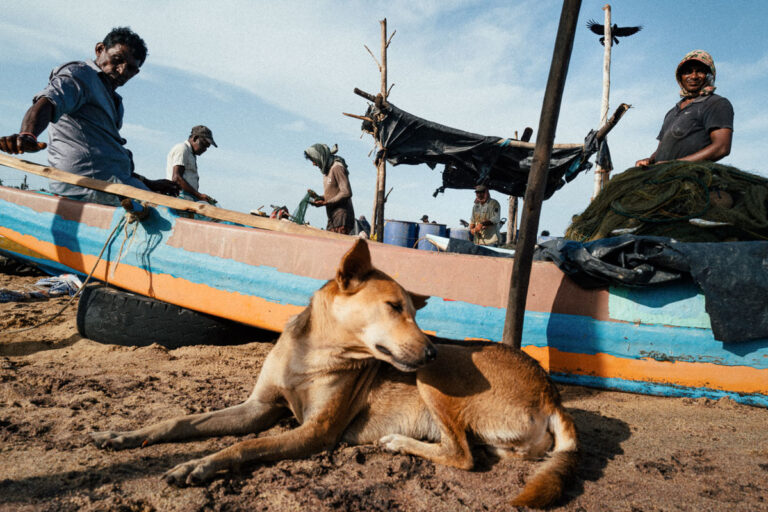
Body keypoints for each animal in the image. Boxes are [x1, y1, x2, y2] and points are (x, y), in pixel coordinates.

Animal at [91, 239, 576, 508]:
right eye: (394, 306)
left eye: (415, 312)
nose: (431, 348)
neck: (311, 354)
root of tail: (552, 393)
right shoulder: (258, 407)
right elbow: (180, 421)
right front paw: (125, 436)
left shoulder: (314, 432)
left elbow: (246, 446)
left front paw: (200, 463)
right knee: (478, 451)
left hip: (438, 376)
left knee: (463, 456)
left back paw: (399, 443)